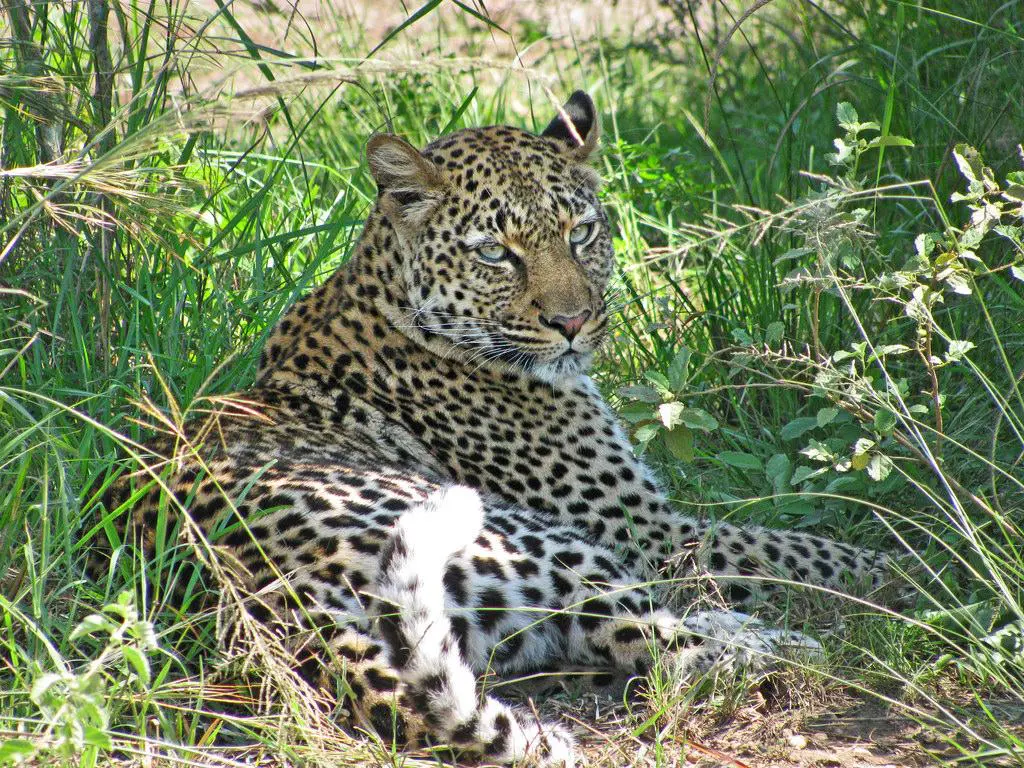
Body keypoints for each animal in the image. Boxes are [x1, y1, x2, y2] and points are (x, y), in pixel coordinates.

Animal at [89, 91, 889, 767]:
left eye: (581, 232)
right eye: (494, 252)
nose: (573, 322)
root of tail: (268, 594)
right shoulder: (652, 533)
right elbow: (804, 550)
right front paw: (902, 570)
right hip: (528, 538)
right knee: (668, 646)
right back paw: (791, 644)